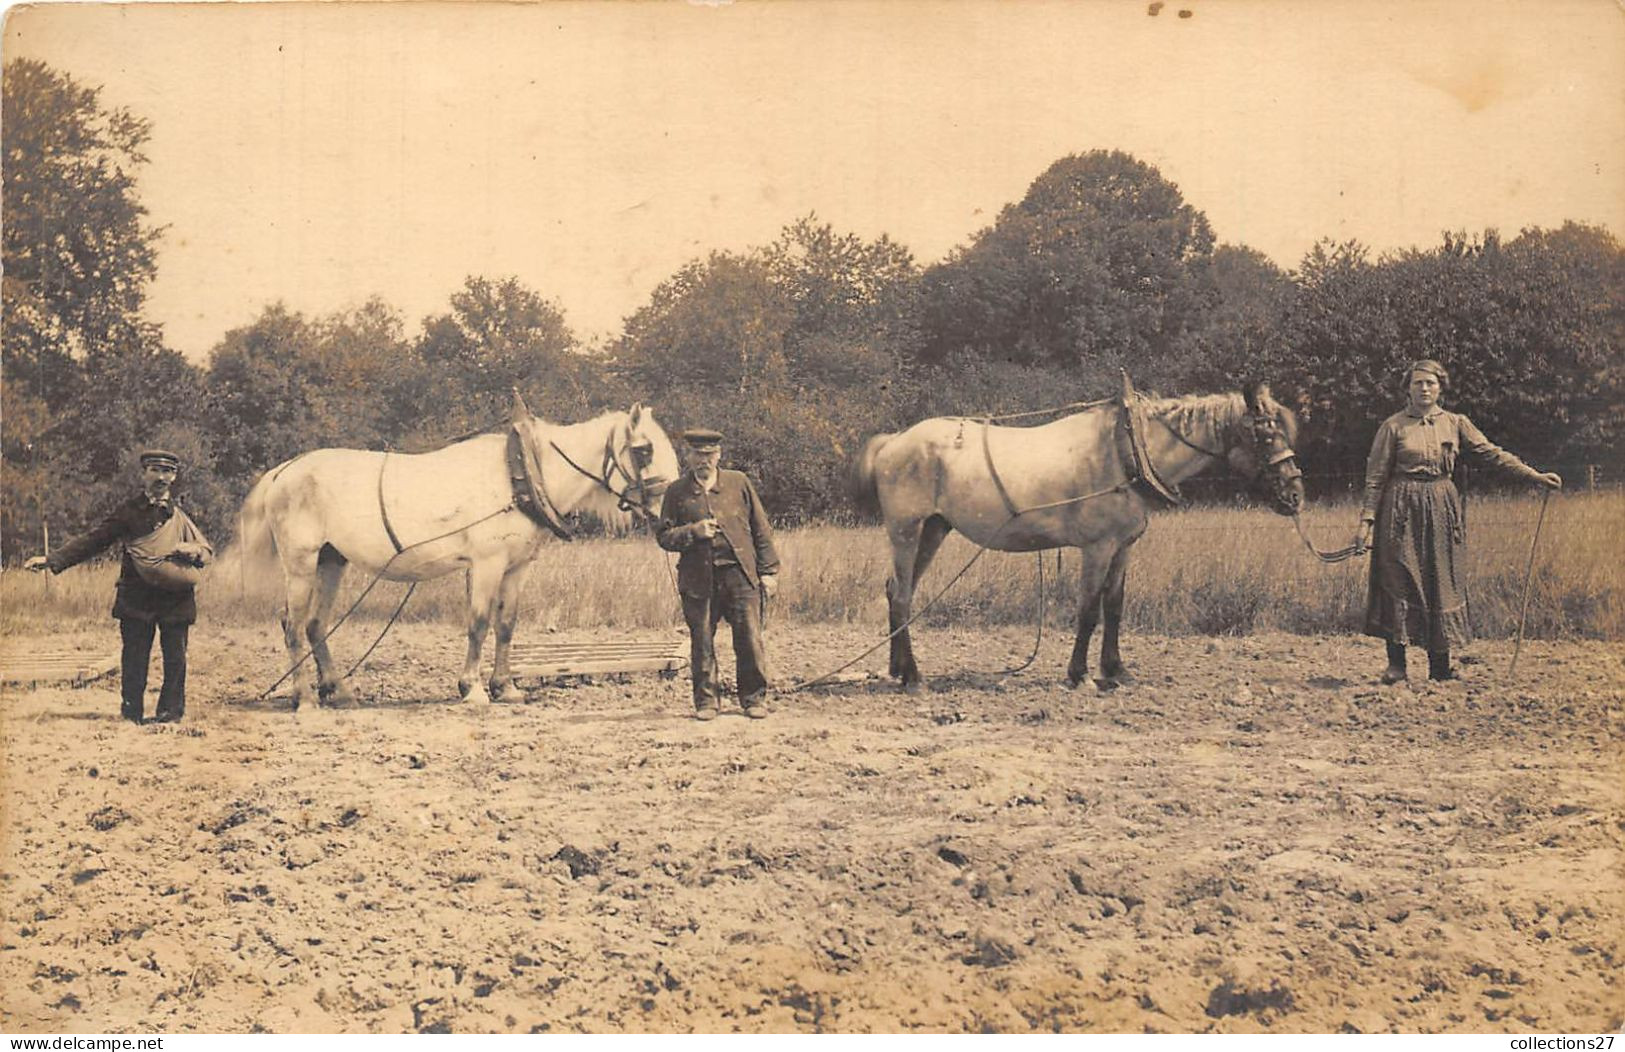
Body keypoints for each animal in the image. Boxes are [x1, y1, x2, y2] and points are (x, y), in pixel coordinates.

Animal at [235, 403, 679, 708]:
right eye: (643, 450)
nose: (670, 509)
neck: (521, 476)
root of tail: (283, 470)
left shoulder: (516, 567)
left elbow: (506, 625)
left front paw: (507, 687)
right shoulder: (487, 564)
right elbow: (479, 623)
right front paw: (473, 688)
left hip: (331, 561)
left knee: (315, 625)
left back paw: (339, 691)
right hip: (301, 563)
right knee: (292, 625)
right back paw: (306, 697)